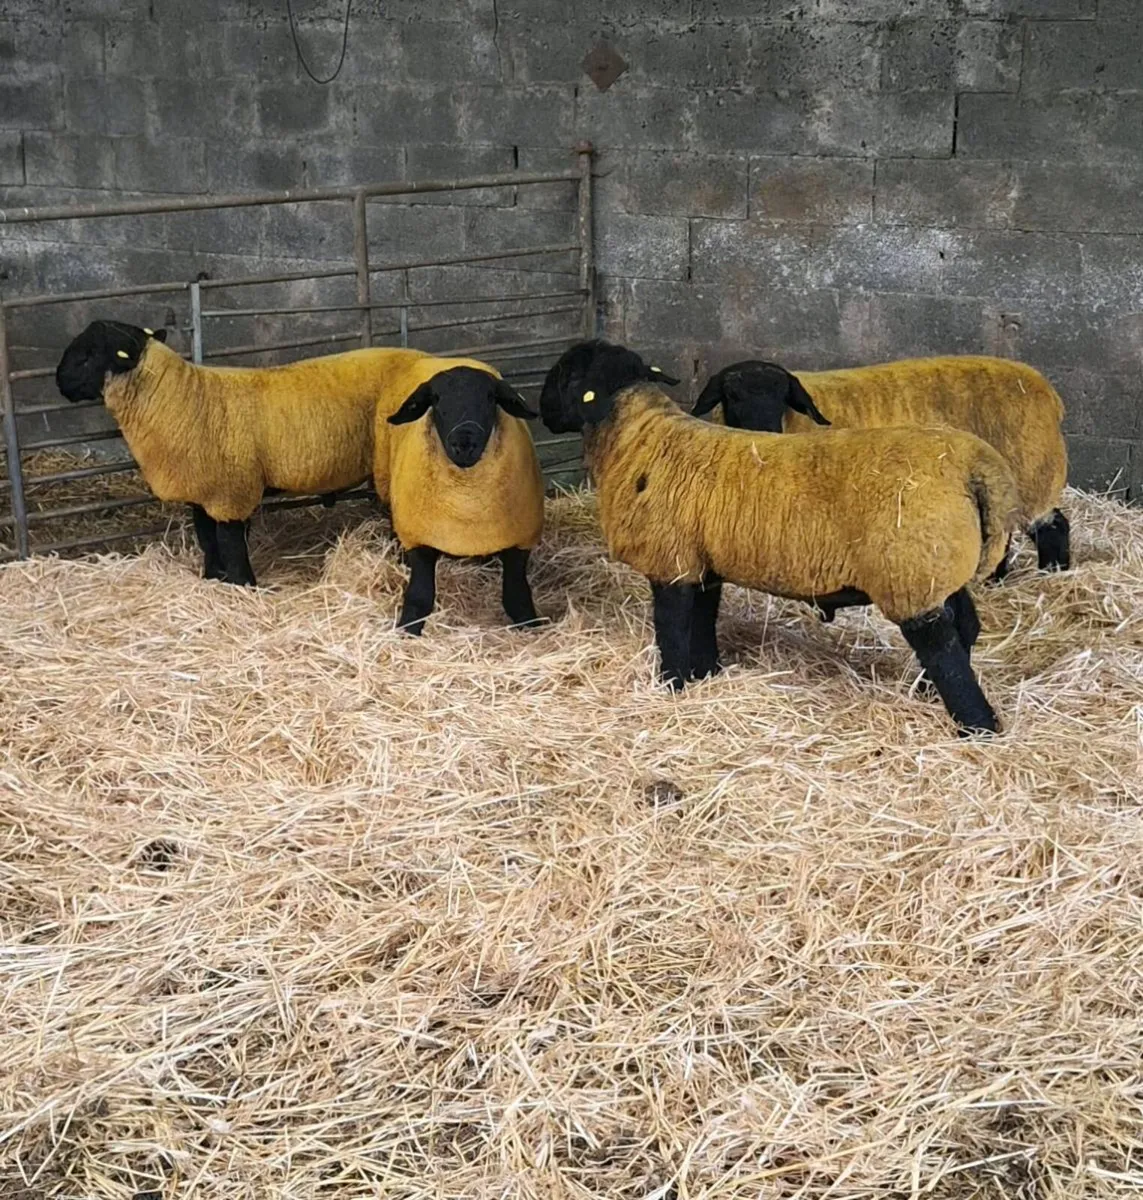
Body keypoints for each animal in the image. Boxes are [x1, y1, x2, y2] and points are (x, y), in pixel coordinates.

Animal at [55, 319, 453, 587]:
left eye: (88, 355)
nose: (58, 382)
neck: (181, 397)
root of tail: (429, 362)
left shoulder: (232, 493)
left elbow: (231, 546)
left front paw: (242, 585)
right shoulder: (203, 493)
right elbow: (206, 539)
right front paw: (212, 578)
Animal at [380, 361, 545, 635]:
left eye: (490, 397)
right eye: (435, 399)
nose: (464, 443)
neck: (466, 503)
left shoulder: (521, 539)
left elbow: (517, 595)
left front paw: (531, 628)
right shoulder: (419, 538)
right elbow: (419, 596)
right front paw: (407, 631)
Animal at [539, 340, 1022, 737]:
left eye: (565, 375)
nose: (540, 411)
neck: (637, 436)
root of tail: (976, 467)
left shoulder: (670, 562)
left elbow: (673, 632)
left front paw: (671, 689)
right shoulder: (703, 563)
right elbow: (703, 623)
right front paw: (706, 677)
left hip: (909, 573)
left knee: (944, 651)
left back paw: (977, 729)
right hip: (939, 569)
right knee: (965, 628)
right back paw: (925, 693)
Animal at [693, 354, 1069, 579]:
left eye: (782, 396)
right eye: (732, 395)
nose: (763, 430)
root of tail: (1049, 394)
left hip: (1031, 476)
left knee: (1053, 527)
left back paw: (1053, 574)